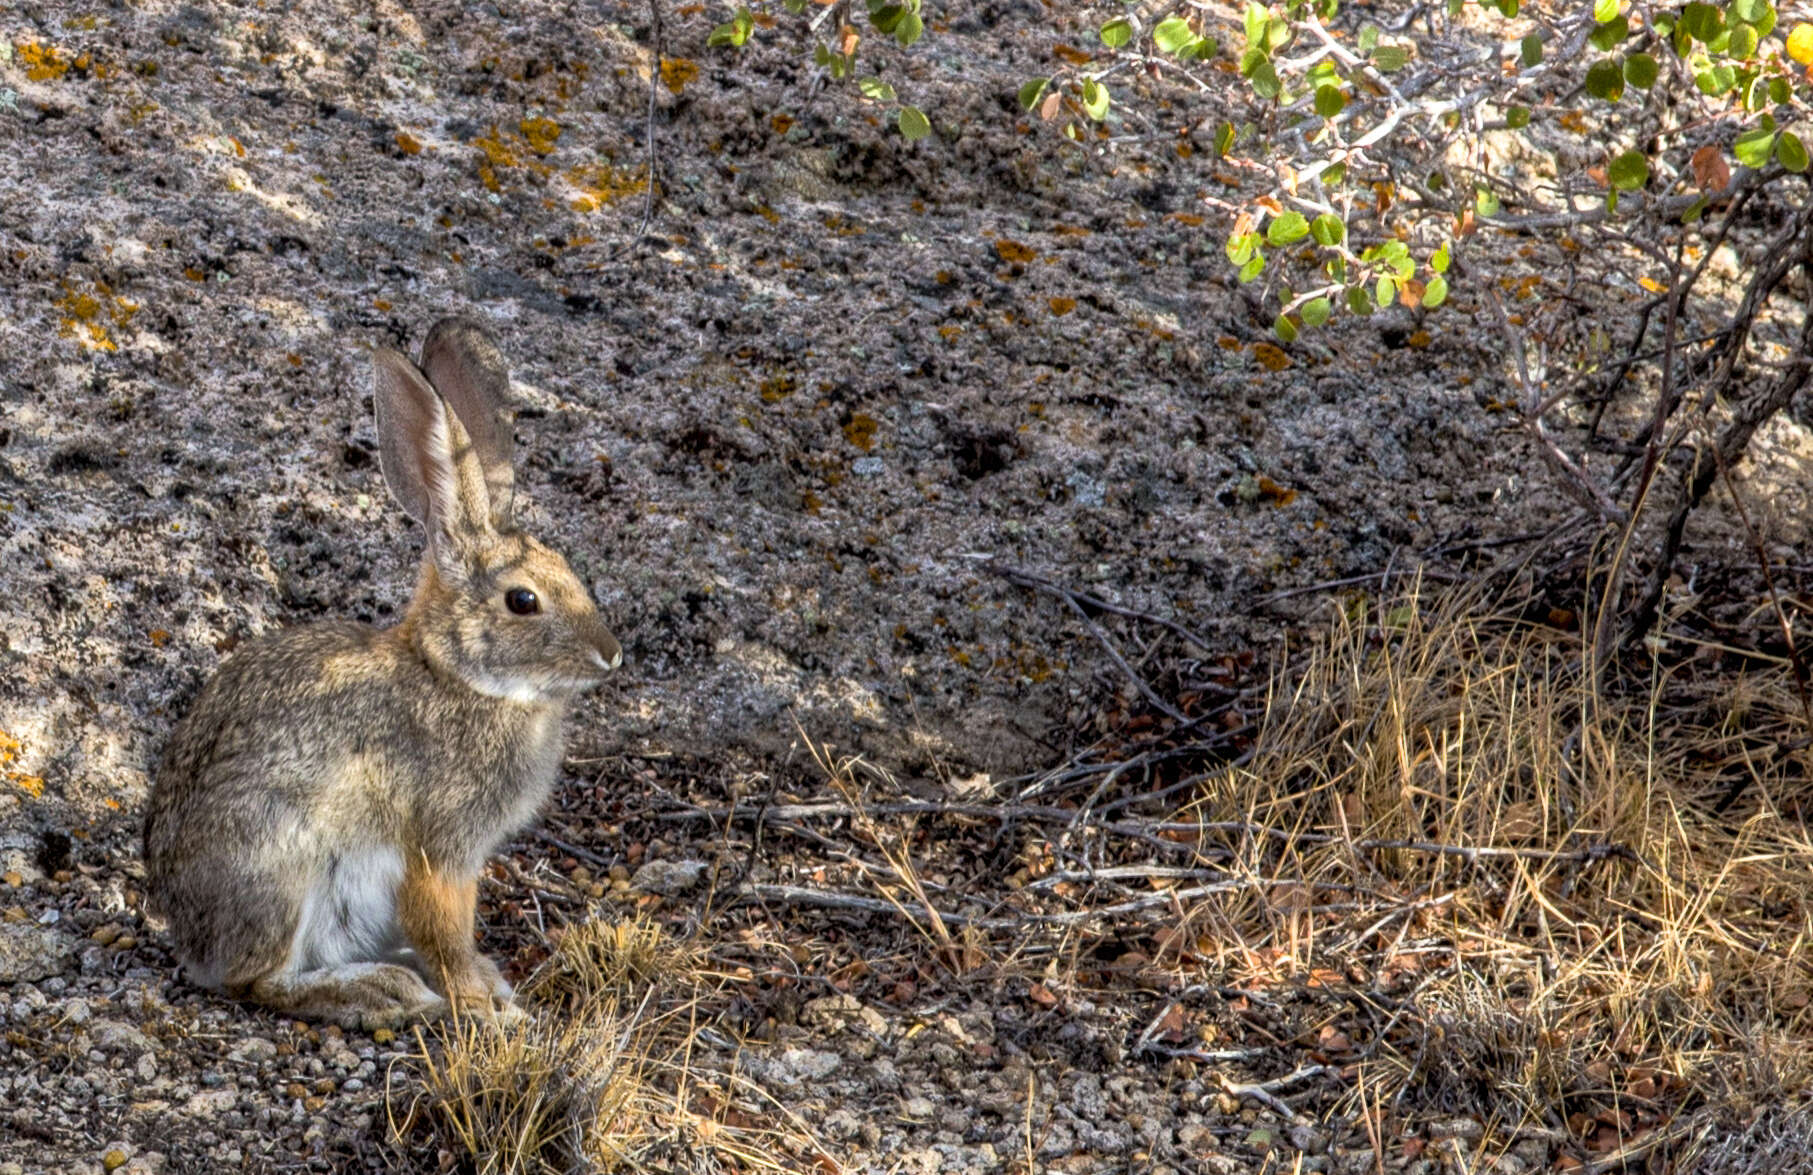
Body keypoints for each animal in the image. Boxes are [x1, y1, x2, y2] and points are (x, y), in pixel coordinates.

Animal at [143, 317, 623, 1022]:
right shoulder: (439, 848)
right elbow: (443, 927)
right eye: (523, 600)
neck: (456, 674)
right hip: (282, 870)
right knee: (256, 981)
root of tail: (187, 936)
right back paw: (378, 989)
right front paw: (483, 1003)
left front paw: (489, 984)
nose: (609, 654)